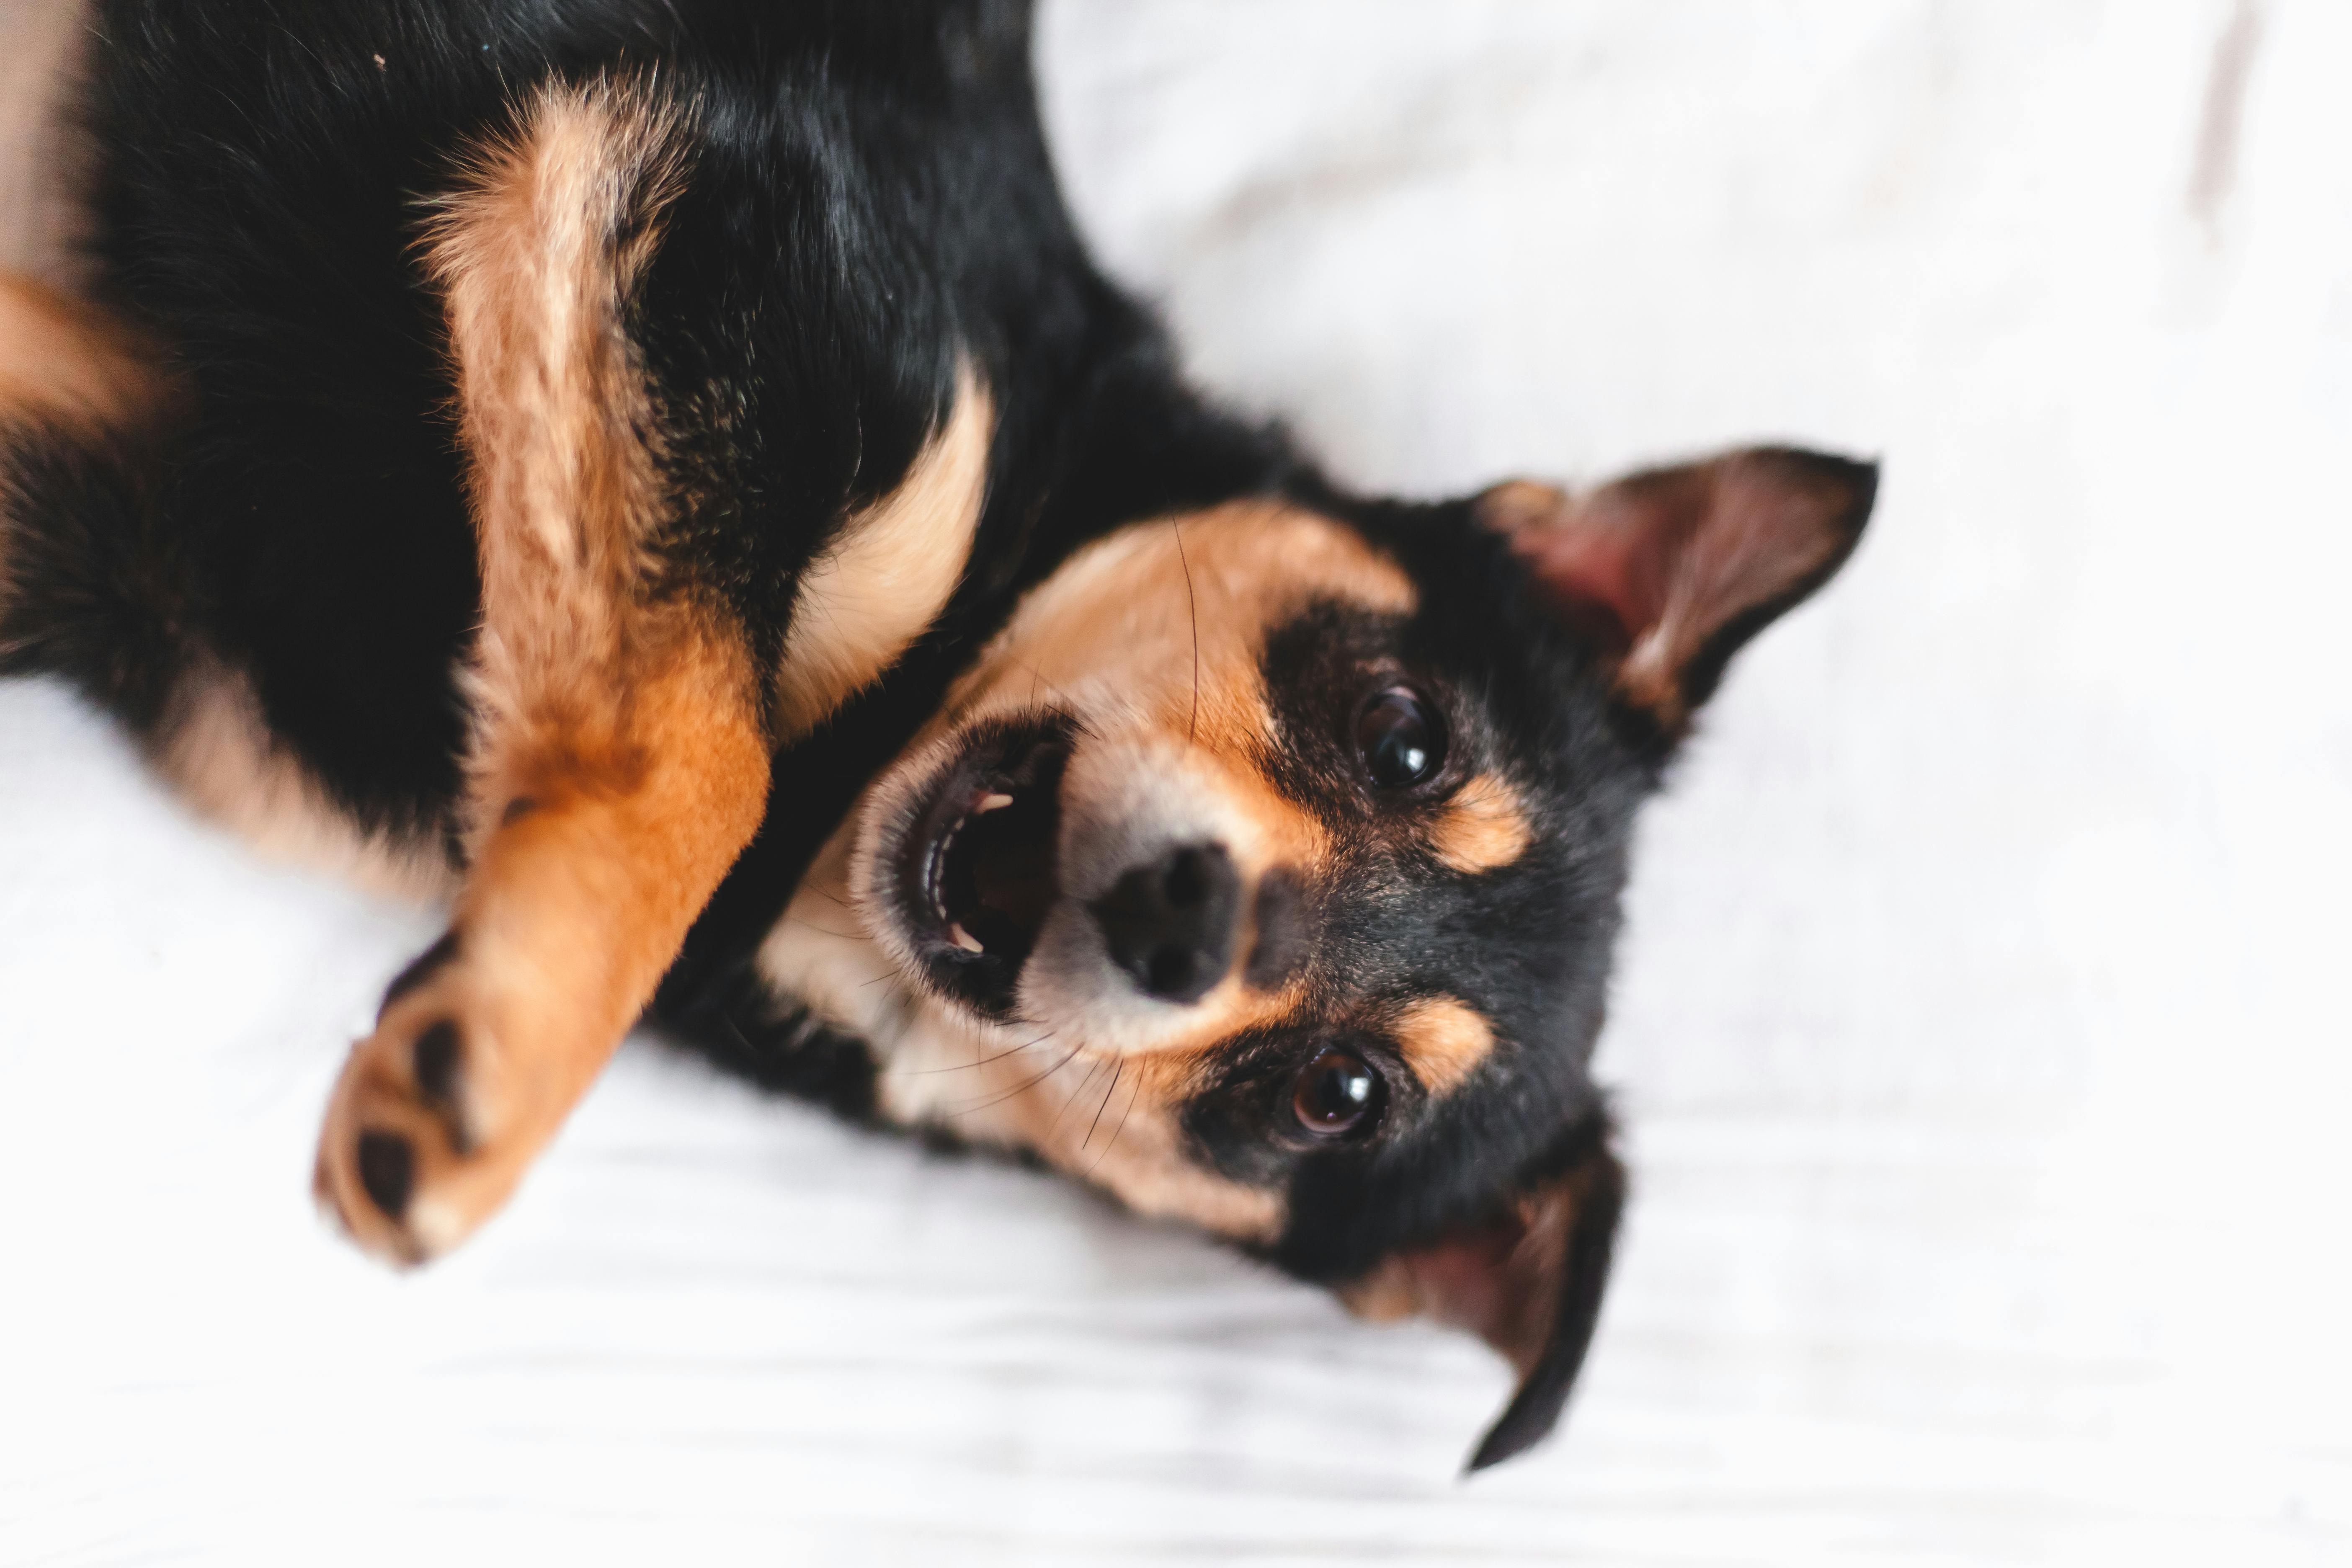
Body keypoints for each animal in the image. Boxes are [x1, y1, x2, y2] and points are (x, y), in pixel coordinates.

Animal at [0, 0, 1872, 1476]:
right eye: (1404, 737)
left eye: (1335, 1101)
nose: (1184, 917)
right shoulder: (693, 192)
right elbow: (718, 758)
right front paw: (520, 1052)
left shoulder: (170, 549)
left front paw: (500, 1040)